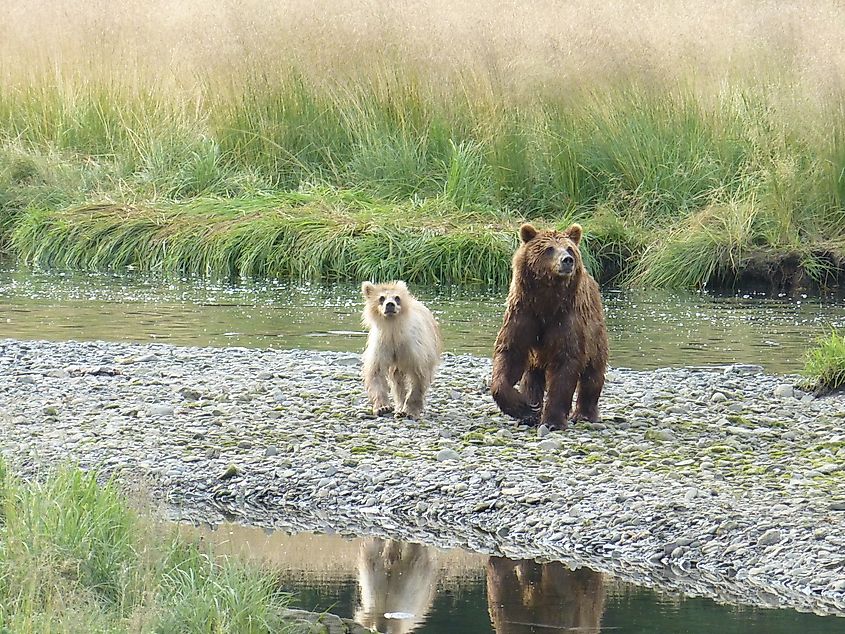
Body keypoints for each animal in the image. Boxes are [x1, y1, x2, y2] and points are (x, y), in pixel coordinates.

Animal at [361, 280, 441, 419]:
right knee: (397, 381)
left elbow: (418, 377)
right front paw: (383, 407)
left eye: (397, 298)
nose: (390, 305)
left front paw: (409, 410)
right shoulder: (382, 345)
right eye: (381, 298)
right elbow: (376, 372)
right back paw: (398, 405)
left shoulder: (412, 348)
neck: (393, 330)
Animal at [491, 223, 608, 430]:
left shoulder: (566, 319)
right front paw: (525, 408)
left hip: (595, 335)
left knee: (593, 375)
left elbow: (565, 364)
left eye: (569, 248)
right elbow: (509, 353)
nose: (567, 260)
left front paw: (553, 421)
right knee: (532, 377)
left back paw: (585, 414)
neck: (546, 302)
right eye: (549, 249)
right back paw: (532, 410)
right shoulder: (524, 314)